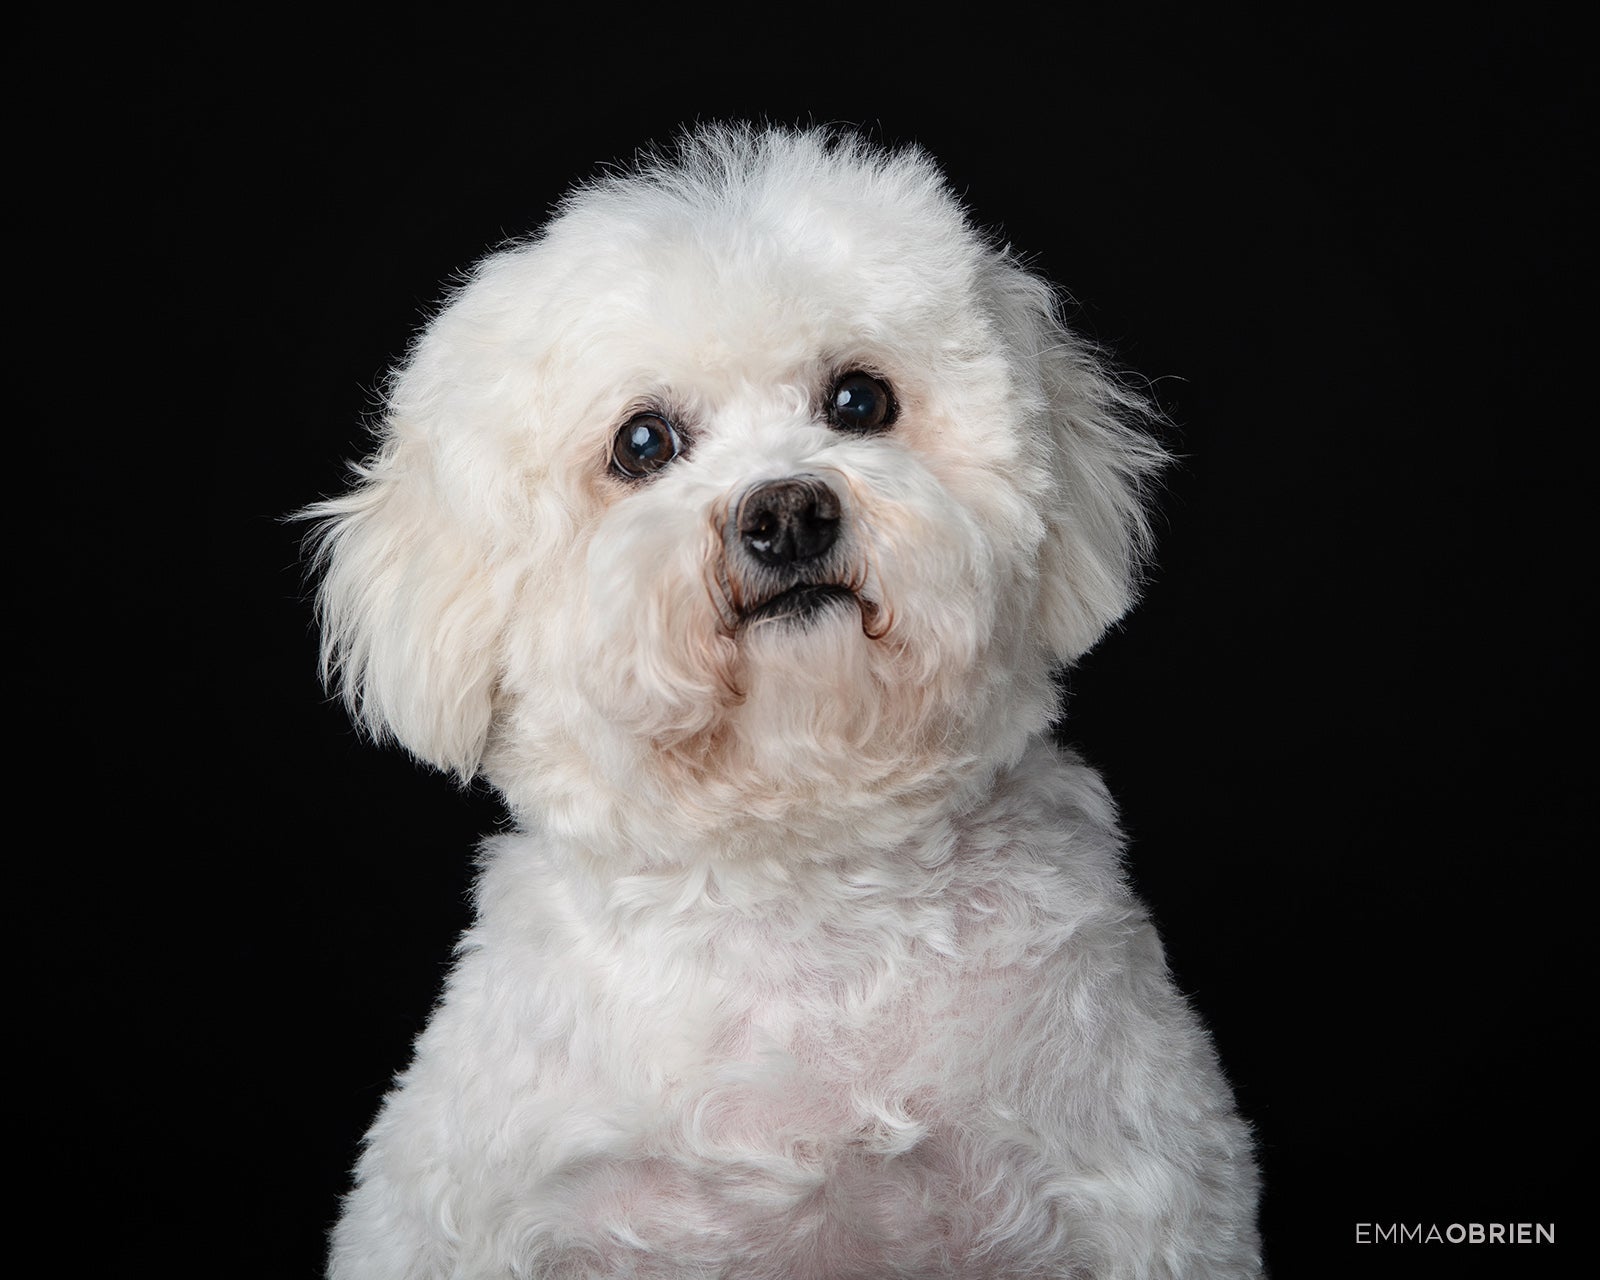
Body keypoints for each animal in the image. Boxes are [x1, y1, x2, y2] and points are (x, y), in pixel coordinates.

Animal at [308, 122, 1260, 1280]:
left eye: (859, 401)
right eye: (642, 443)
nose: (789, 511)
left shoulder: (1147, 1186)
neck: (801, 887)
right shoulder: (463, 1213)